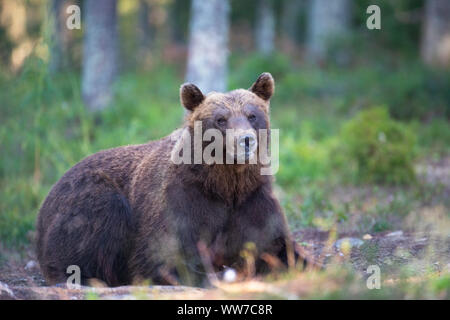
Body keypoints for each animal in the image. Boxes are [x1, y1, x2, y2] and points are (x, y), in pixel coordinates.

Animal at [37, 73, 304, 288]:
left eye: (252, 115)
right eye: (221, 119)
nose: (245, 140)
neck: (225, 184)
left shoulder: (252, 199)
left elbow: (279, 246)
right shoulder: (184, 199)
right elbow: (164, 258)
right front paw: (215, 275)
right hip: (86, 198)